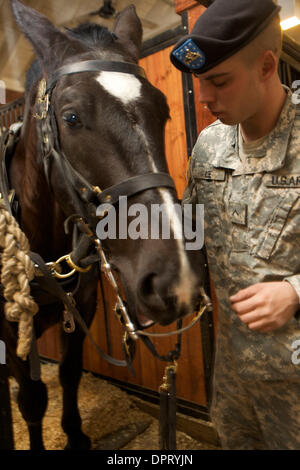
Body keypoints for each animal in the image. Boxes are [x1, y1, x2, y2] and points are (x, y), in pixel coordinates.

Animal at [0, 0, 205, 450]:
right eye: (71, 116)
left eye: (163, 111)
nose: (176, 279)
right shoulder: (11, 327)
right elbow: (32, 399)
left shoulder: (83, 309)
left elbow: (69, 374)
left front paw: (76, 435)